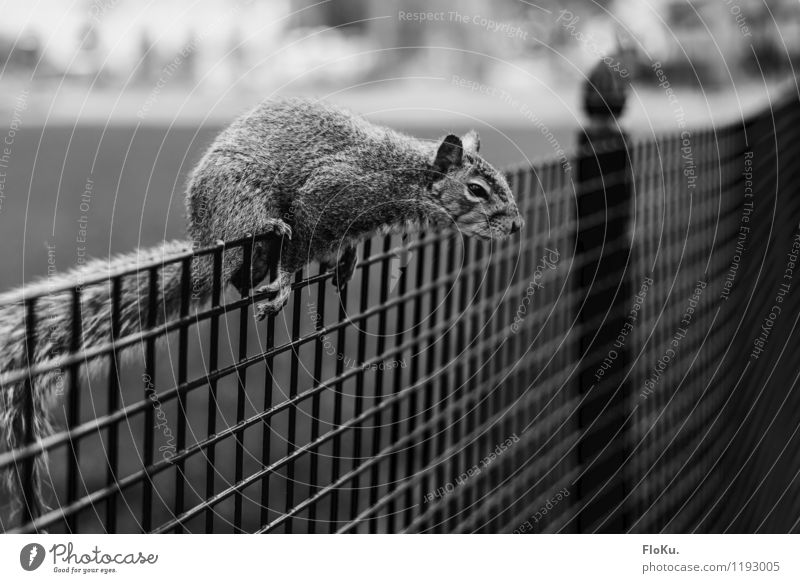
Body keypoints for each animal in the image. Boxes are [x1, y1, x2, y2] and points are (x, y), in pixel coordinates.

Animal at [0, 97, 524, 520]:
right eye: (476, 189)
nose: (516, 225)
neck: (404, 176)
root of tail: (203, 243)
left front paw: (346, 257)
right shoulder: (333, 191)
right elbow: (301, 240)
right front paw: (288, 279)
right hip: (240, 204)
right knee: (245, 259)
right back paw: (265, 243)